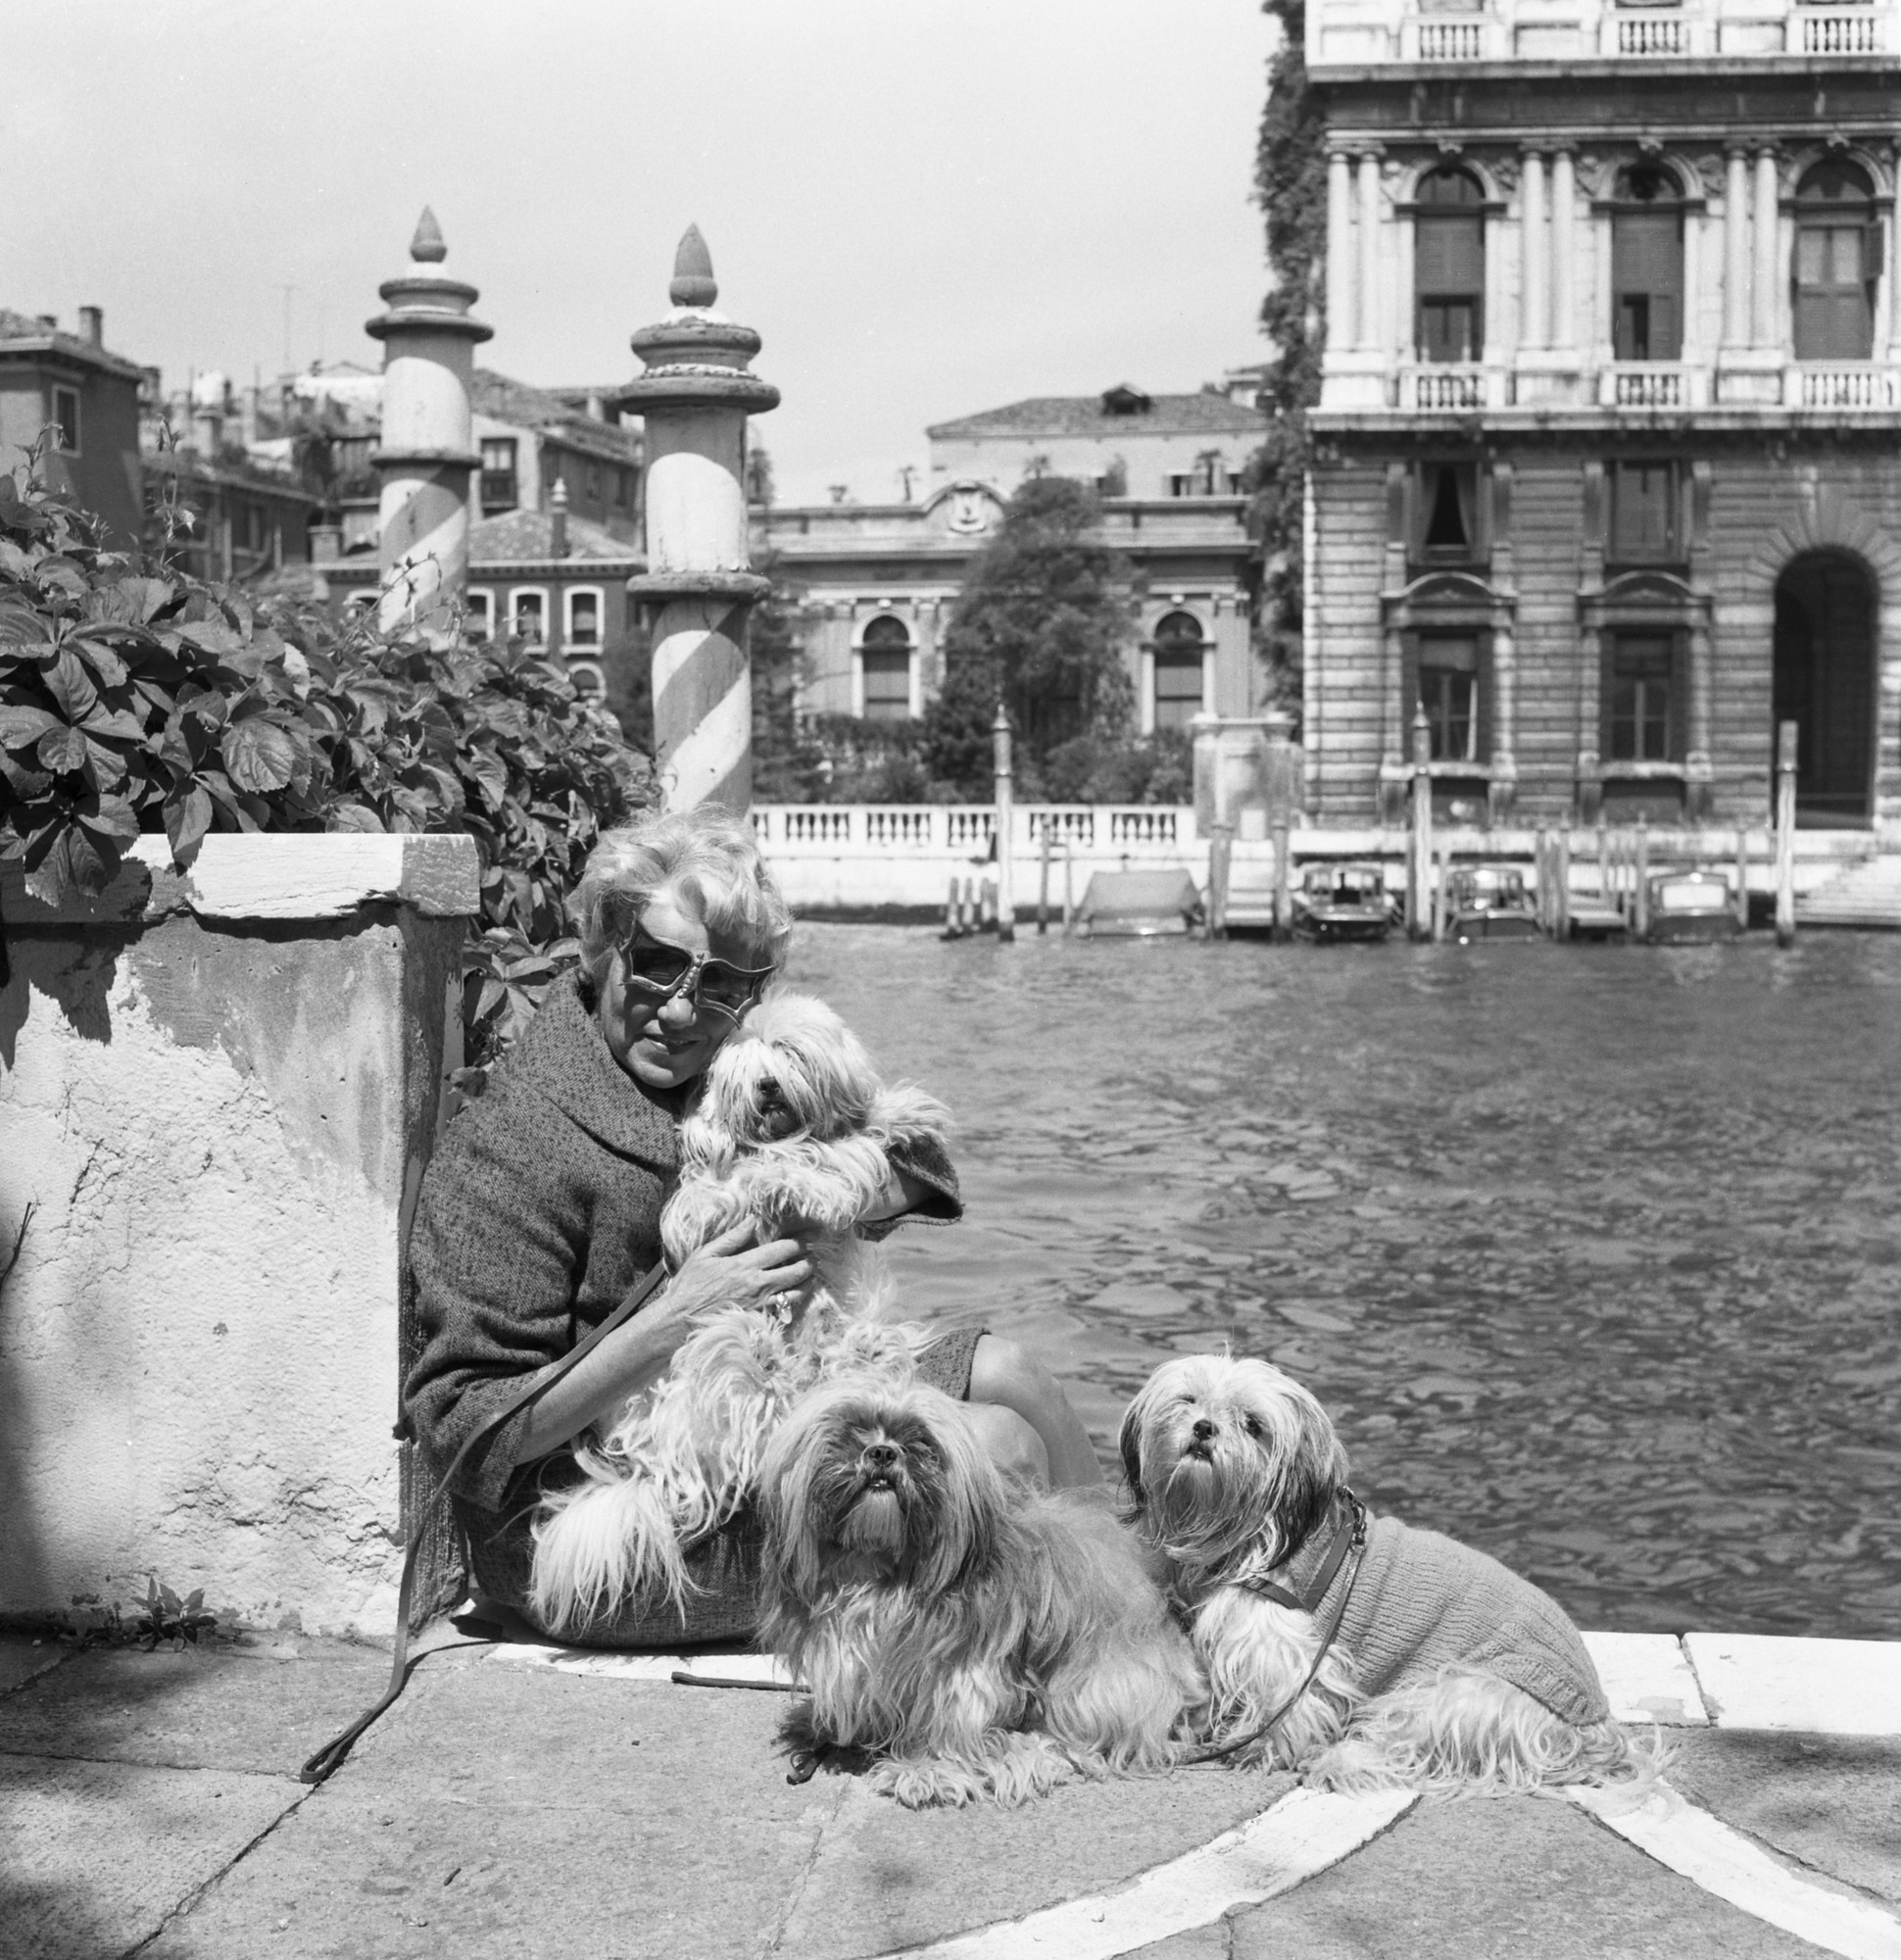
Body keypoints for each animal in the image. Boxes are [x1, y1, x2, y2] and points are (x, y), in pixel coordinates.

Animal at [525, 988, 941, 1631]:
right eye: (745, 1069)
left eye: (789, 1054)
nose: (767, 1086)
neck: (778, 1139)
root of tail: (651, 1472)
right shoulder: (704, 1202)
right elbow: (734, 1187)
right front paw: (775, 1182)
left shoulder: (835, 1150)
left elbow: (849, 1148)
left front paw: (901, 1118)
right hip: (707, 1388)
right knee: (748, 1400)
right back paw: (758, 1348)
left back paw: (851, 1353)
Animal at [756, 1380, 1199, 1803]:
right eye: (853, 1429)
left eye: (920, 1441)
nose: (882, 1452)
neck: (879, 1569)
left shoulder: (963, 1669)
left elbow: (952, 1717)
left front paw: (927, 1769)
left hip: (1093, 1684)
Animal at [1121, 1364, 1654, 1795]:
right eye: (1189, 1400)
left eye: (1253, 1425)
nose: (1204, 1428)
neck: (1246, 1529)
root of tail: (1594, 1723)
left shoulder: (1286, 1646)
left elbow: (1285, 1704)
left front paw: (1259, 1750)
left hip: (1459, 1696)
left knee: (1407, 1744)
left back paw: (1340, 1762)